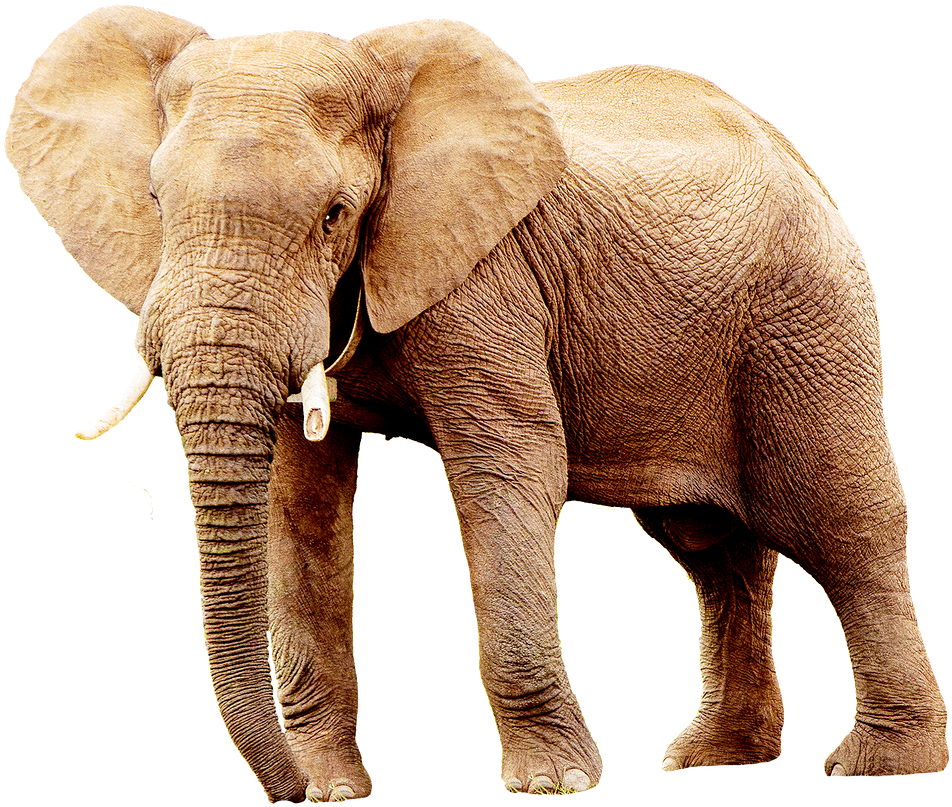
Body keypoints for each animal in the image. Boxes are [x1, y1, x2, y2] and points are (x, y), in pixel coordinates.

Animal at [5, 4, 949, 801]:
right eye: (156, 203)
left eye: (335, 214)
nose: (286, 794)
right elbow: (297, 500)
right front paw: (336, 792)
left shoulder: (488, 279)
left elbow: (508, 466)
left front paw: (553, 785)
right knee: (712, 548)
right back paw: (716, 758)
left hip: (808, 317)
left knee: (842, 521)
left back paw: (883, 765)